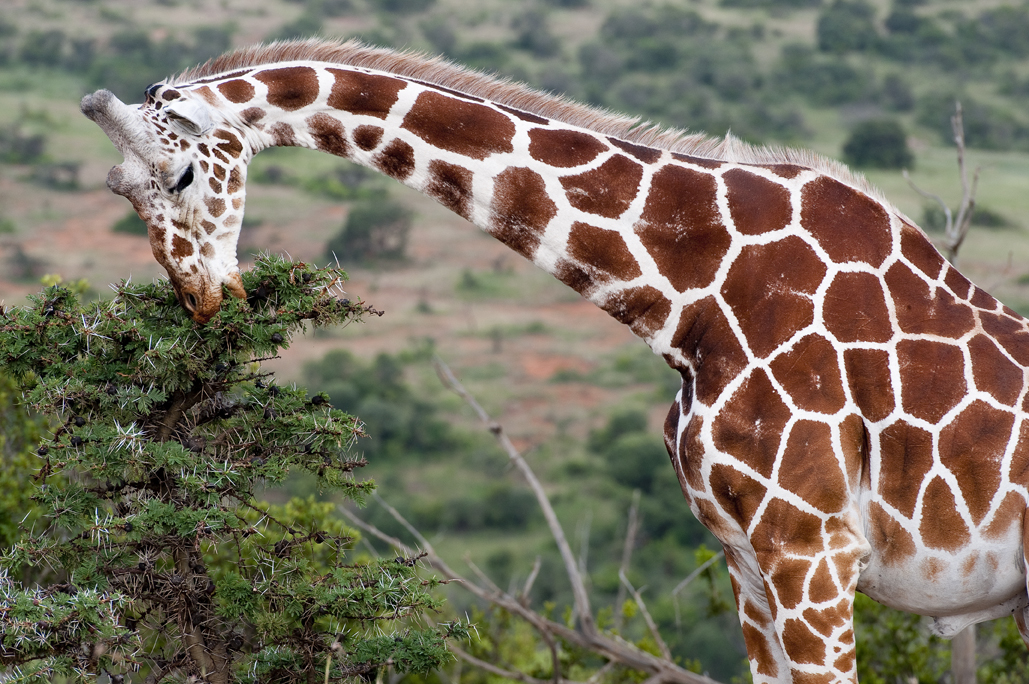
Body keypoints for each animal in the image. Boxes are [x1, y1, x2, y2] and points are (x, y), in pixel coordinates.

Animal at [82, 38, 1029, 682]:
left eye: (179, 178)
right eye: (119, 195)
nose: (204, 299)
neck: (695, 296)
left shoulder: (812, 548)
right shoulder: (746, 559)